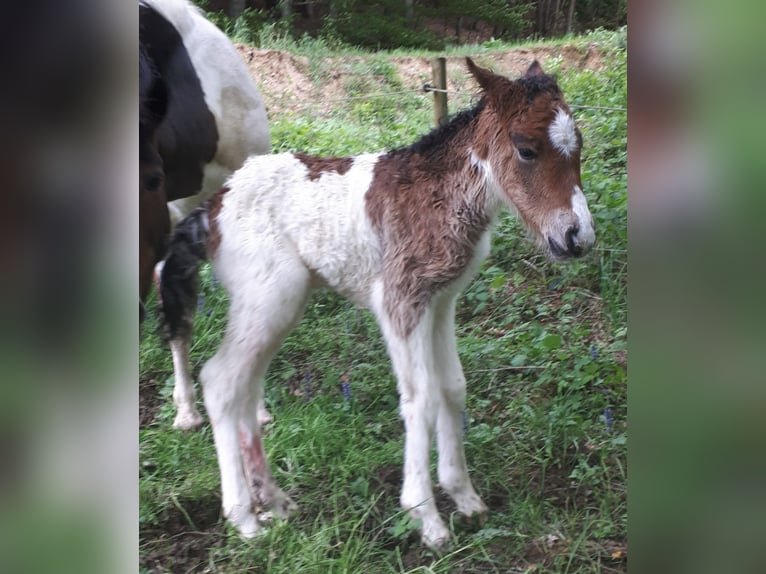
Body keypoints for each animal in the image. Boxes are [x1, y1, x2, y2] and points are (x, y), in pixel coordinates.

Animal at [159, 57, 596, 548]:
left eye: (578, 146)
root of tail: (213, 207)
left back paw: (274, 501)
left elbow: (452, 387)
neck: (438, 196)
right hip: (269, 298)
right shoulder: (399, 301)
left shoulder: (441, 302)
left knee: (246, 387)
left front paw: (464, 497)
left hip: (272, 307)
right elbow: (421, 395)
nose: (577, 237)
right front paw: (426, 516)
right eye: (526, 150)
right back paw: (243, 517)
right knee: (221, 382)